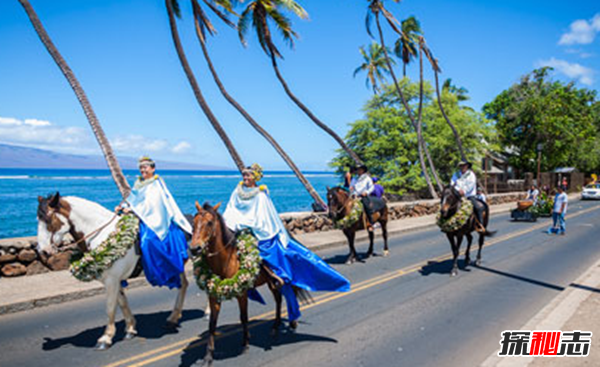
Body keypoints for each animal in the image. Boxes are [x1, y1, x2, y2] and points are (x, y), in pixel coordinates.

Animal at [35, 193, 193, 350]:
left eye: (49, 220)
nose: (43, 251)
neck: (103, 235)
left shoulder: (111, 280)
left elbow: (110, 307)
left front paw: (106, 338)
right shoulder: (115, 280)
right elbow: (122, 303)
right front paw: (130, 329)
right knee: (184, 284)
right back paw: (173, 318)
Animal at [190, 203, 298, 366]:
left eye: (209, 223)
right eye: (194, 222)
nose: (194, 248)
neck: (226, 260)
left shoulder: (242, 293)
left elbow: (243, 317)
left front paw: (245, 344)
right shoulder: (214, 295)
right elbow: (212, 324)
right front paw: (208, 356)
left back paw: (292, 323)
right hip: (270, 282)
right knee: (278, 299)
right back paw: (275, 327)